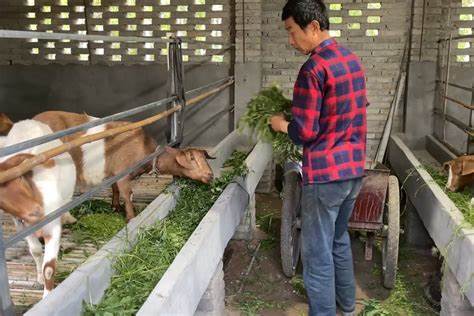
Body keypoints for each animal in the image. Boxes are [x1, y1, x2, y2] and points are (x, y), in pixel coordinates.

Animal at [35, 111, 215, 222]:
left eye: (205, 159)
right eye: (191, 158)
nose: (210, 175)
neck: (146, 152)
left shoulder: (114, 174)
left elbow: (115, 190)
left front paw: (116, 207)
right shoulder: (122, 173)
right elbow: (128, 194)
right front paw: (131, 217)